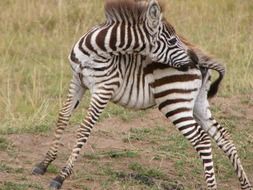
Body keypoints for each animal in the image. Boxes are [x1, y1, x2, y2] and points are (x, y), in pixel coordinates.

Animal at [32, 0, 252, 190]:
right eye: (172, 40)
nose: (193, 59)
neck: (94, 51)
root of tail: (203, 63)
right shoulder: (77, 81)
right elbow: (63, 118)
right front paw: (44, 163)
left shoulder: (103, 89)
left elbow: (84, 130)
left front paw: (61, 176)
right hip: (197, 103)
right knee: (223, 136)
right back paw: (245, 184)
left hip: (174, 102)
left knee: (203, 140)